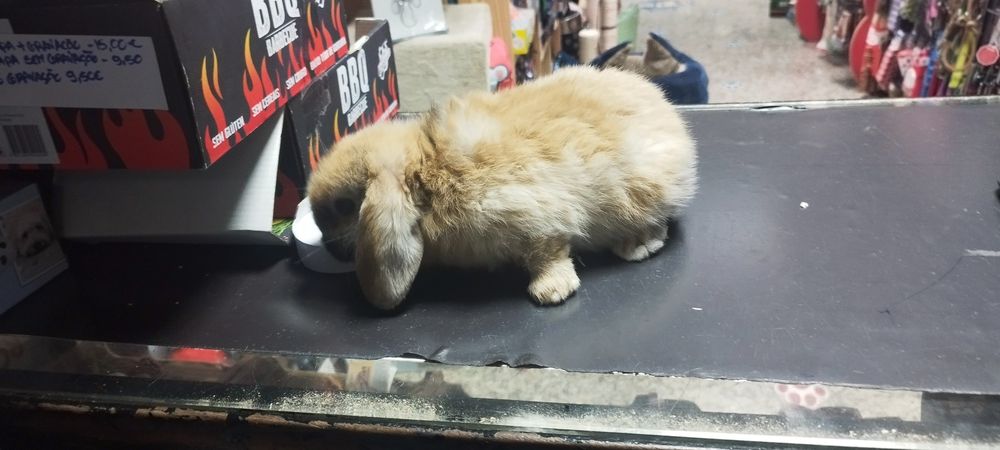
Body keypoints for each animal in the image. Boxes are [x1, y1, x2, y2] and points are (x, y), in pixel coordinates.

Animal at [308, 66, 697, 310]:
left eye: (344, 206)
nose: (326, 245)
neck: (426, 169)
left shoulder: (533, 218)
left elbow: (548, 252)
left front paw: (551, 291)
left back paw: (637, 245)